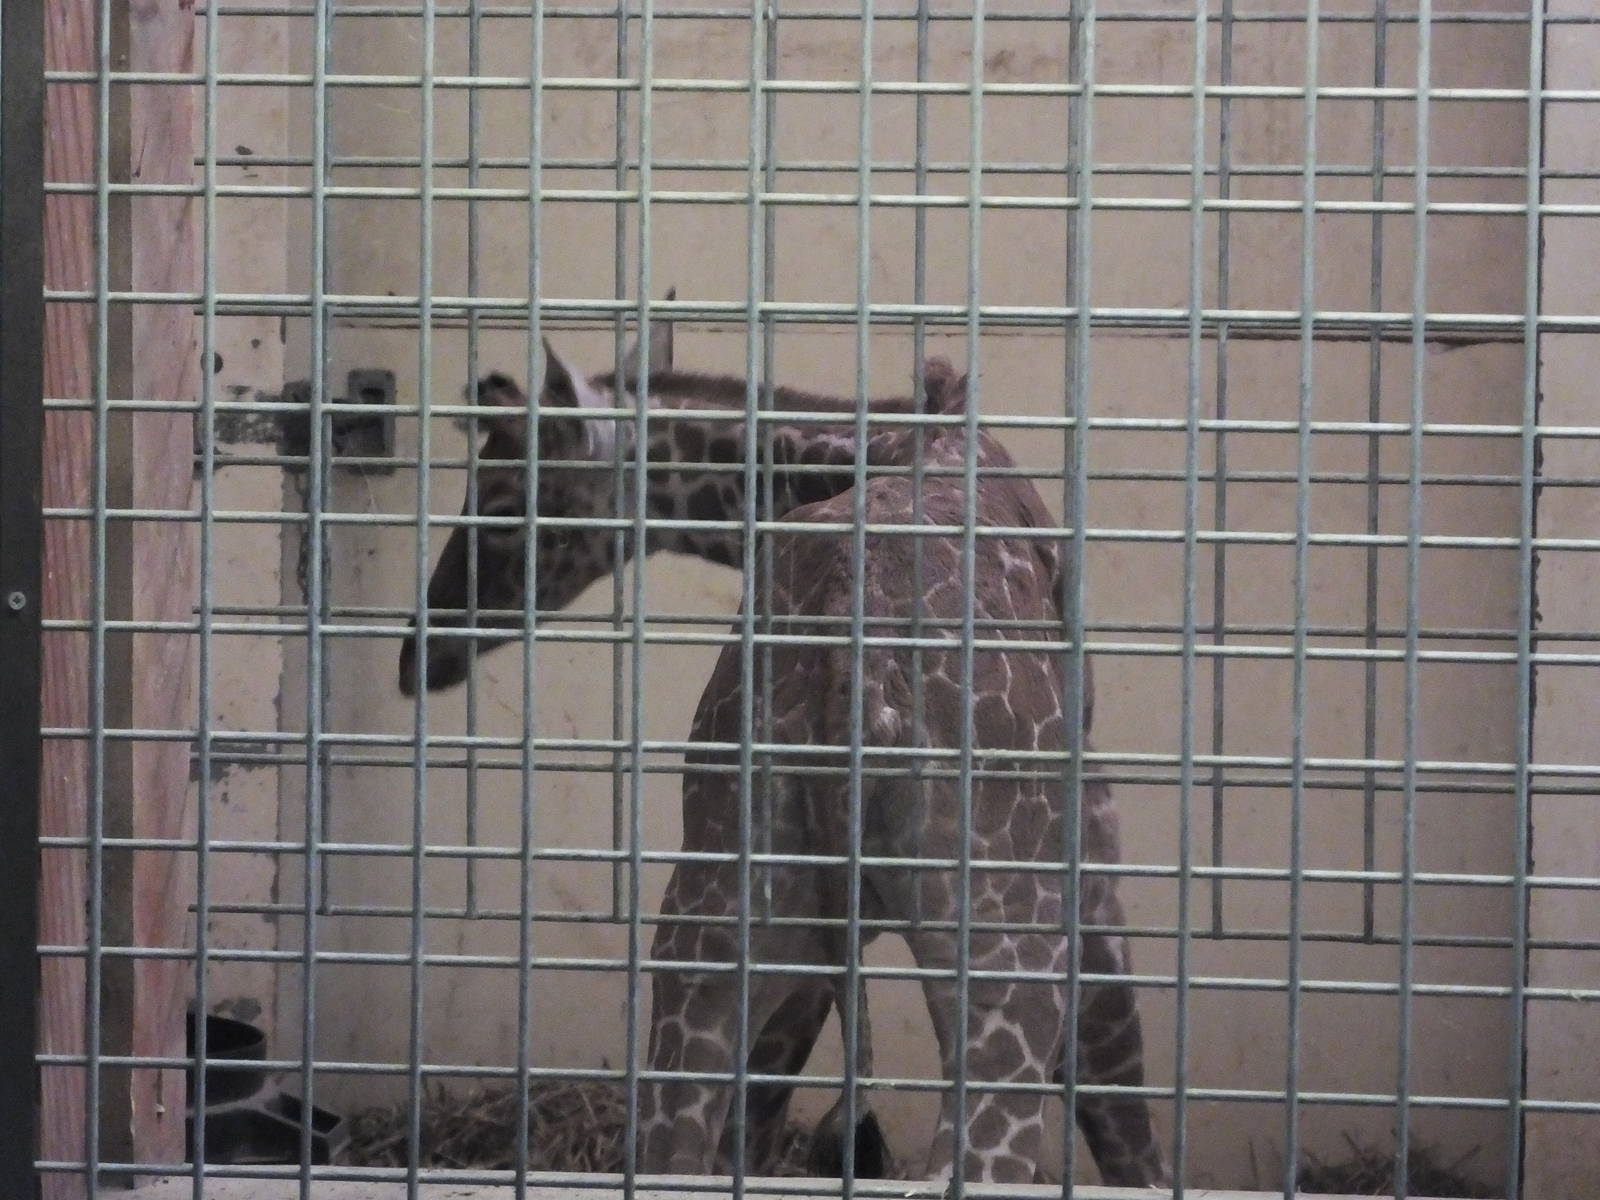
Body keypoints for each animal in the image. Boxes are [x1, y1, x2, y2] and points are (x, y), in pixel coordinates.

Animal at [396, 315, 1168, 1185]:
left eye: (499, 505)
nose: (418, 654)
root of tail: (846, 667)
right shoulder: (1094, 875)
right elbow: (1130, 1133)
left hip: (708, 939)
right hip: (1006, 961)